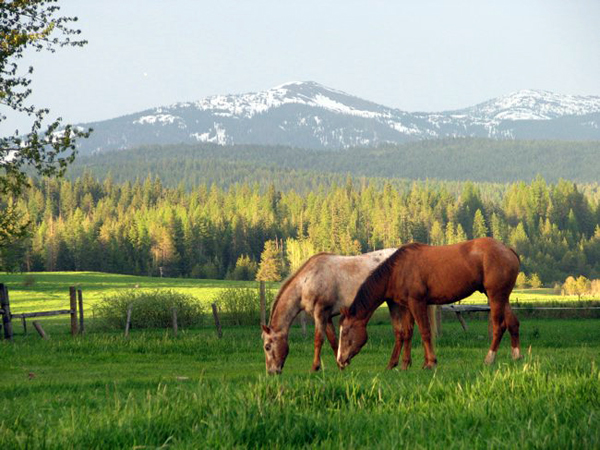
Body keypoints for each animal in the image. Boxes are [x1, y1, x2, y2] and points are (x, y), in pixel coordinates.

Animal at [260, 248, 414, 374]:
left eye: (267, 347)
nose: (271, 372)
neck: (307, 281)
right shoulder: (327, 316)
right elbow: (333, 340)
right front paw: (340, 366)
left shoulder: (320, 313)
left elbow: (318, 340)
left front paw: (315, 367)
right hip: (393, 303)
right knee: (400, 332)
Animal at [338, 237, 520, 370]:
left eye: (345, 332)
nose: (340, 361)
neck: (397, 270)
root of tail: (508, 250)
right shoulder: (406, 306)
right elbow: (406, 333)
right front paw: (403, 364)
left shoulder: (416, 302)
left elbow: (425, 332)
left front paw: (430, 362)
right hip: (503, 297)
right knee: (513, 323)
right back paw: (517, 356)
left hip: (495, 296)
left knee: (499, 326)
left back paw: (489, 359)